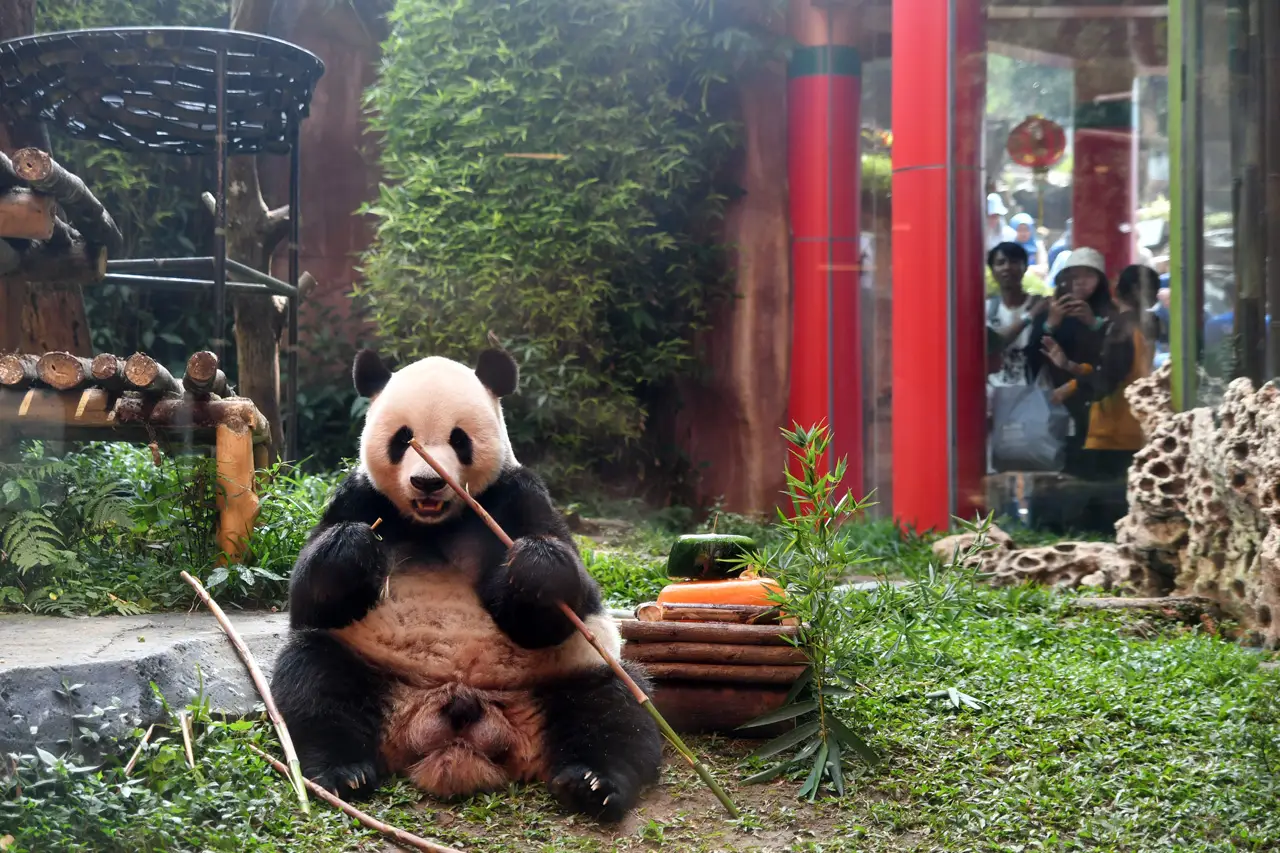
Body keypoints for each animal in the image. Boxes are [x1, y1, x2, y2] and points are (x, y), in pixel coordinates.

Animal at [270, 345, 663, 822]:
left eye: (459, 439)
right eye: (403, 438)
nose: (427, 482)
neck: (436, 521)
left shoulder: (516, 494)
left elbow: (563, 601)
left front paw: (534, 568)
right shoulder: (359, 496)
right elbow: (308, 595)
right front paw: (353, 546)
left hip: (566, 672)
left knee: (614, 708)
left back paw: (593, 784)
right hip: (368, 664)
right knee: (315, 682)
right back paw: (342, 773)